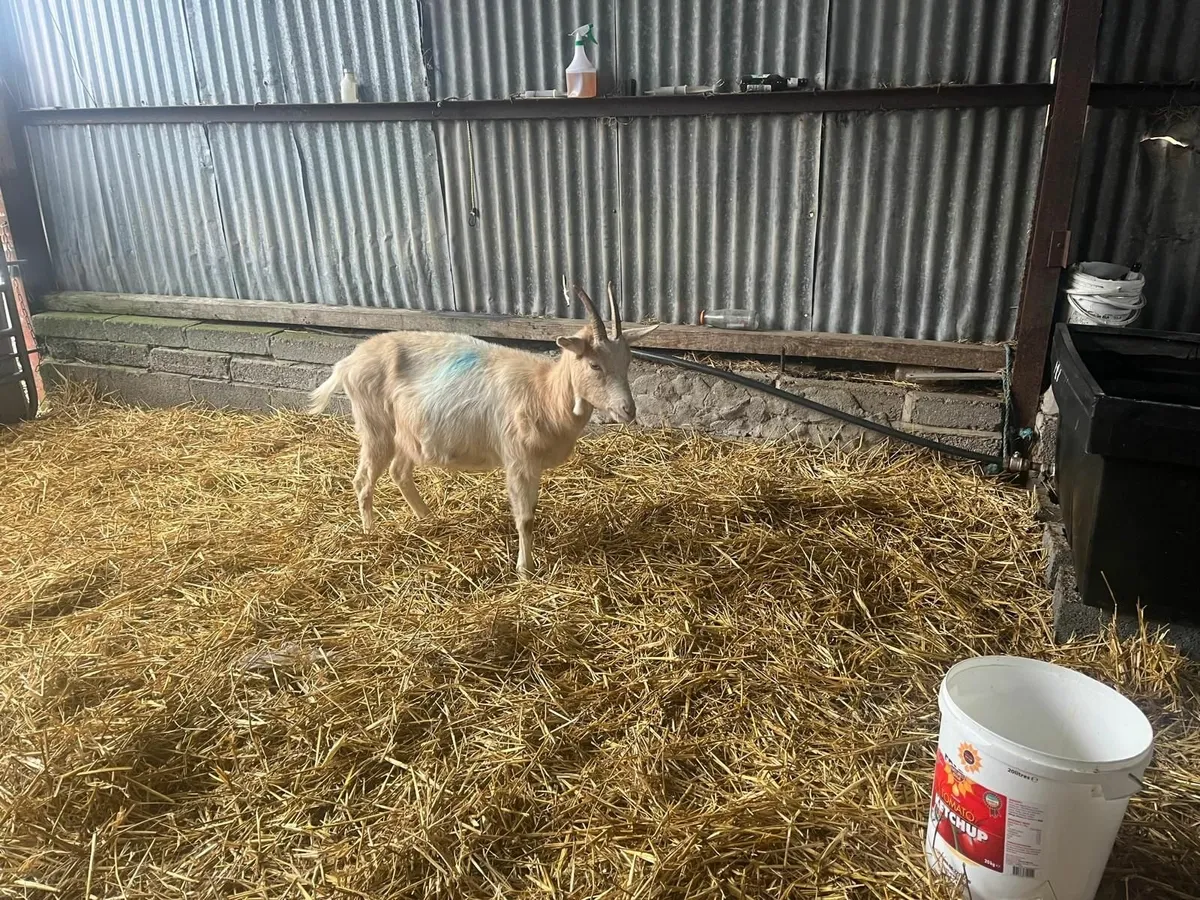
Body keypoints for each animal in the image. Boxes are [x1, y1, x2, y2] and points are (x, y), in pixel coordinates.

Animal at [308, 278, 660, 575]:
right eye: (594, 364)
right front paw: (525, 571)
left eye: (628, 361)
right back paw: (370, 533)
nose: (628, 410)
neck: (544, 392)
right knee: (363, 479)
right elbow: (526, 518)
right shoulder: (518, 459)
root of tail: (347, 363)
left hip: (407, 433)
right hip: (374, 426)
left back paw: (429, 519)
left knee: (399, 472)